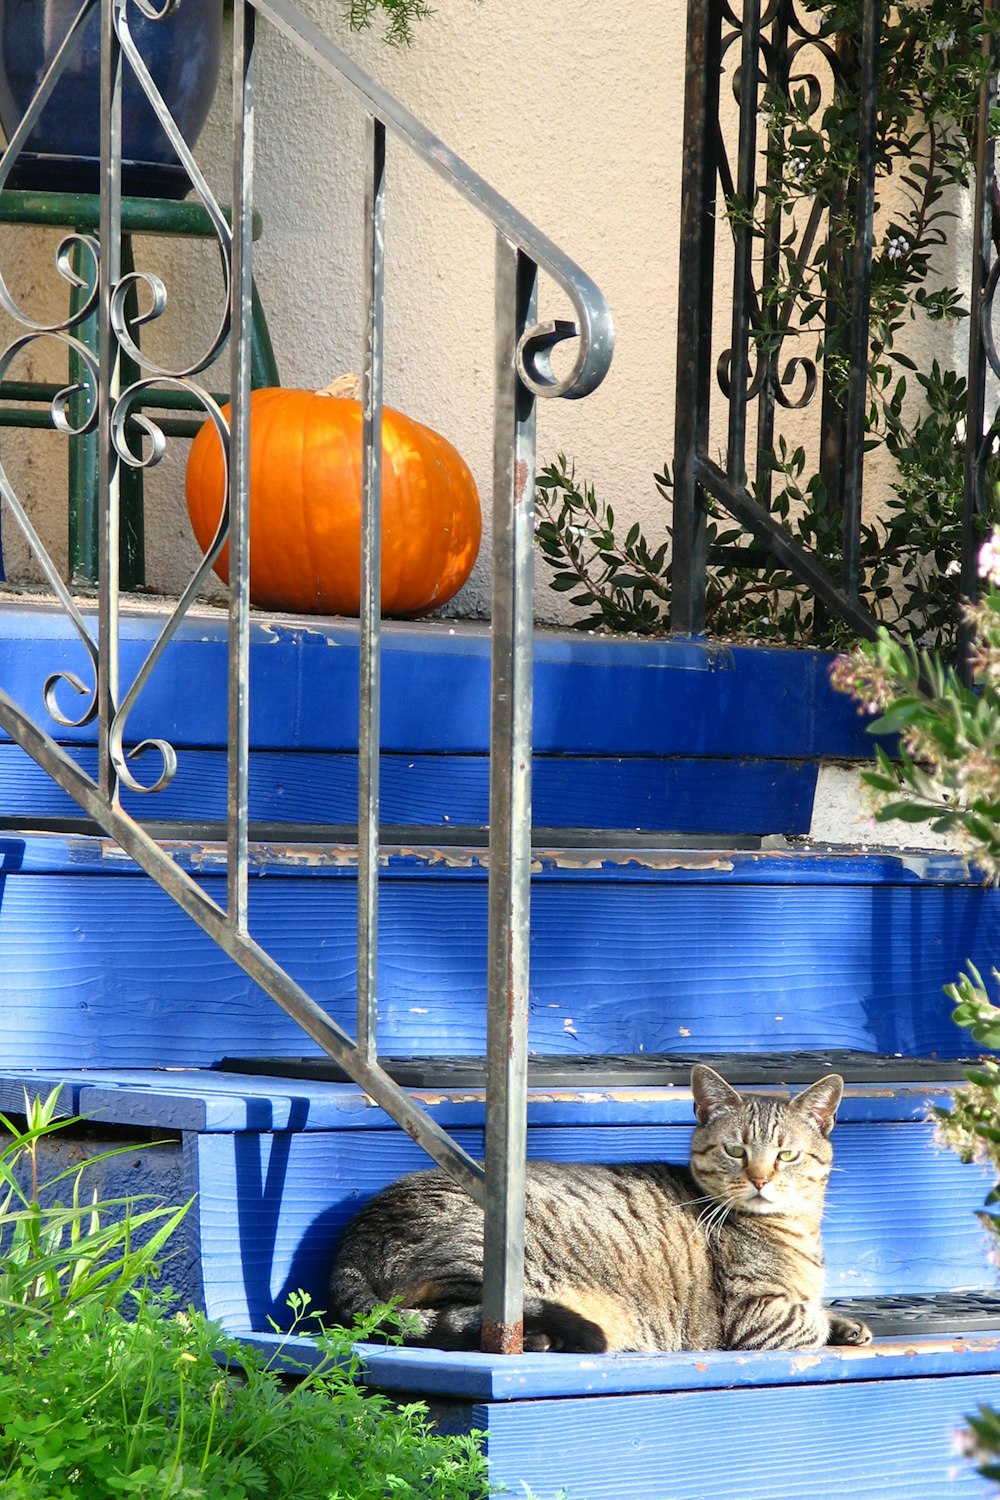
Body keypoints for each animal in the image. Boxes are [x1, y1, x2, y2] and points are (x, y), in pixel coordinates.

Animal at [326, 1062, 869, 1356]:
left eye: (787, 1155)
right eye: (736, 1151)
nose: (760, 1179)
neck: (797, 1227)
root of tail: (353, 1240)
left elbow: (819, 1308)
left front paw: (847, 1322)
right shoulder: (754, 1316)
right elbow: (808, 1321)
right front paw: (831, 1323)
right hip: (494, 1261)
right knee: (458, 1320)